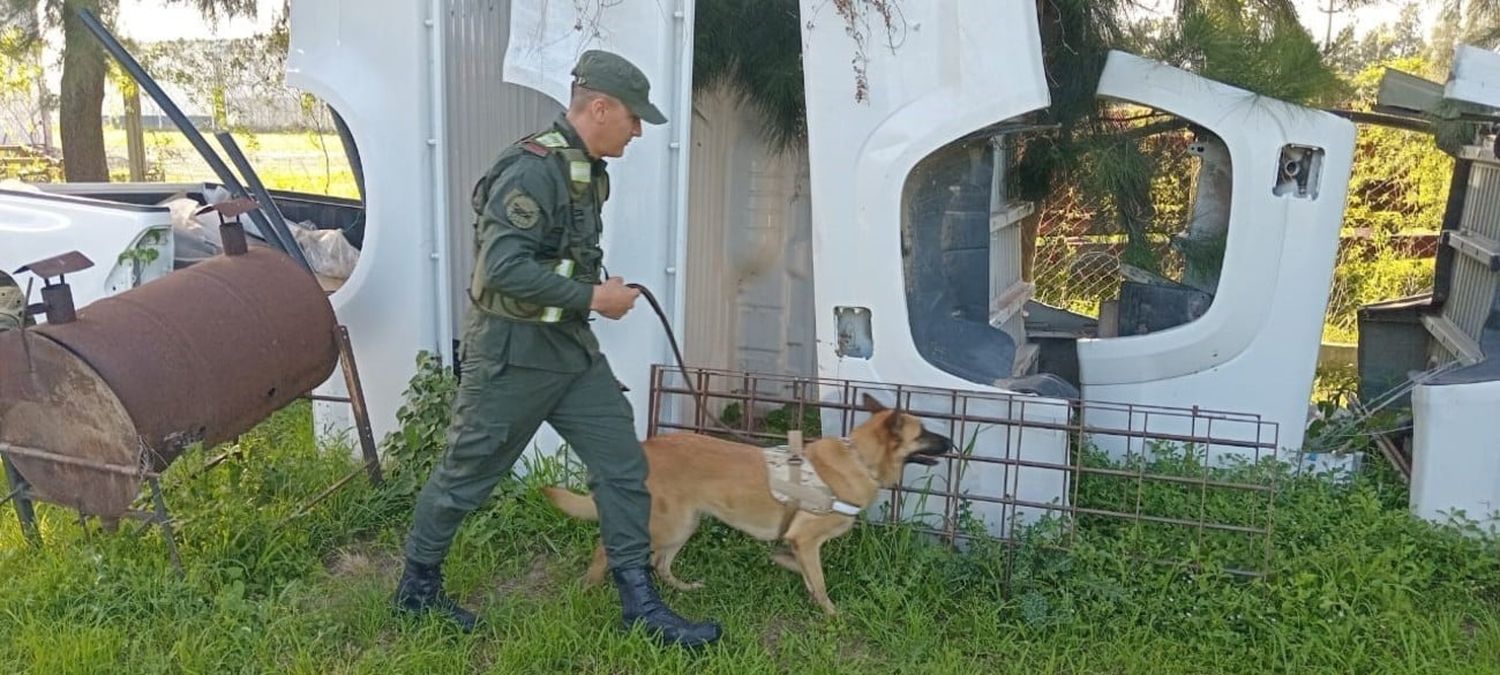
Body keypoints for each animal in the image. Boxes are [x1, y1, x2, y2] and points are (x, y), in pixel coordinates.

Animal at [540, 393, 948, 615]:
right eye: (924, 432)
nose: (951, 443)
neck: (860, 459)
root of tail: (647, 447)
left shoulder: (800, 544)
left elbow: (803, 570)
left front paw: (788, 569)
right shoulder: (806, 540)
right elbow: (819, 581)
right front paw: (831, 613)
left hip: (684, 525)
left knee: (660, 563)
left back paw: (683, 588)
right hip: (668, 526)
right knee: (608, 549)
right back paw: (589, 586)